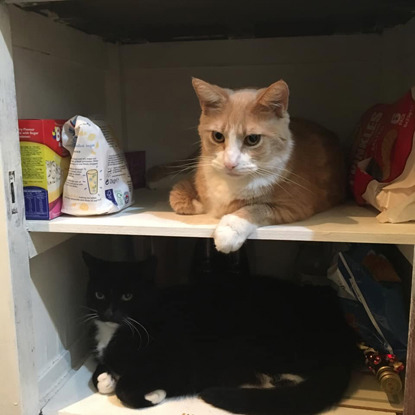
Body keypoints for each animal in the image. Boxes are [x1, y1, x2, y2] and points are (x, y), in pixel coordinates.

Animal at [83, 252, 360, 414]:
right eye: (99, 294)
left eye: (128, 296)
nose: (109, 312)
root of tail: (342, 330)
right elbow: (99, 376)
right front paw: (105, 377)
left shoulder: (178, 364)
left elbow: (126, 390)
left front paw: (153, 395)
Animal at [171, 78, 346, 254]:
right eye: (218, 136)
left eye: (253, 139)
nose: (230, 163)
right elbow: (175, 195)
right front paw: (198, 204)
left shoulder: (295, 206)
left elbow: (257, 207)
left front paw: (230, 228)